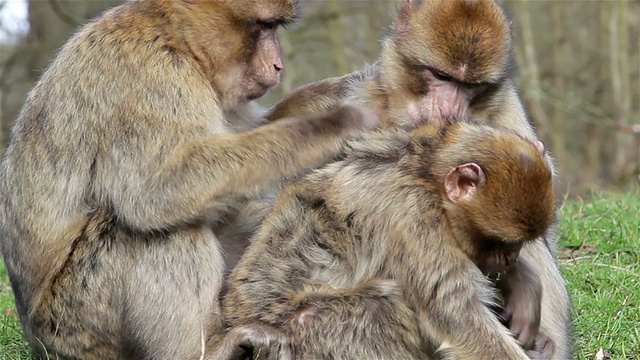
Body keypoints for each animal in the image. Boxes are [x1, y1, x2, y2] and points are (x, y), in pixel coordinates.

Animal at [0, 1, 380, 358]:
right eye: (264, 26)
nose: (277, 65)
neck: (178, 41)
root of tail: (36, 337)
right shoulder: (150, 74)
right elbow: (156, 188)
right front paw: (335, 124)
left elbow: (248, 132)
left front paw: (358, 86)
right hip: (80, 323)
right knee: (150, 228)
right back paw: (206, 349)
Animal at [220, 120, 556, 360]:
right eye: (499, 241)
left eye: (517, 244)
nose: (511, 257)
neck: (426, 173)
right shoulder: (411, 215)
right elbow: (458, 315)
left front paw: (523, 283)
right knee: (381, 304)